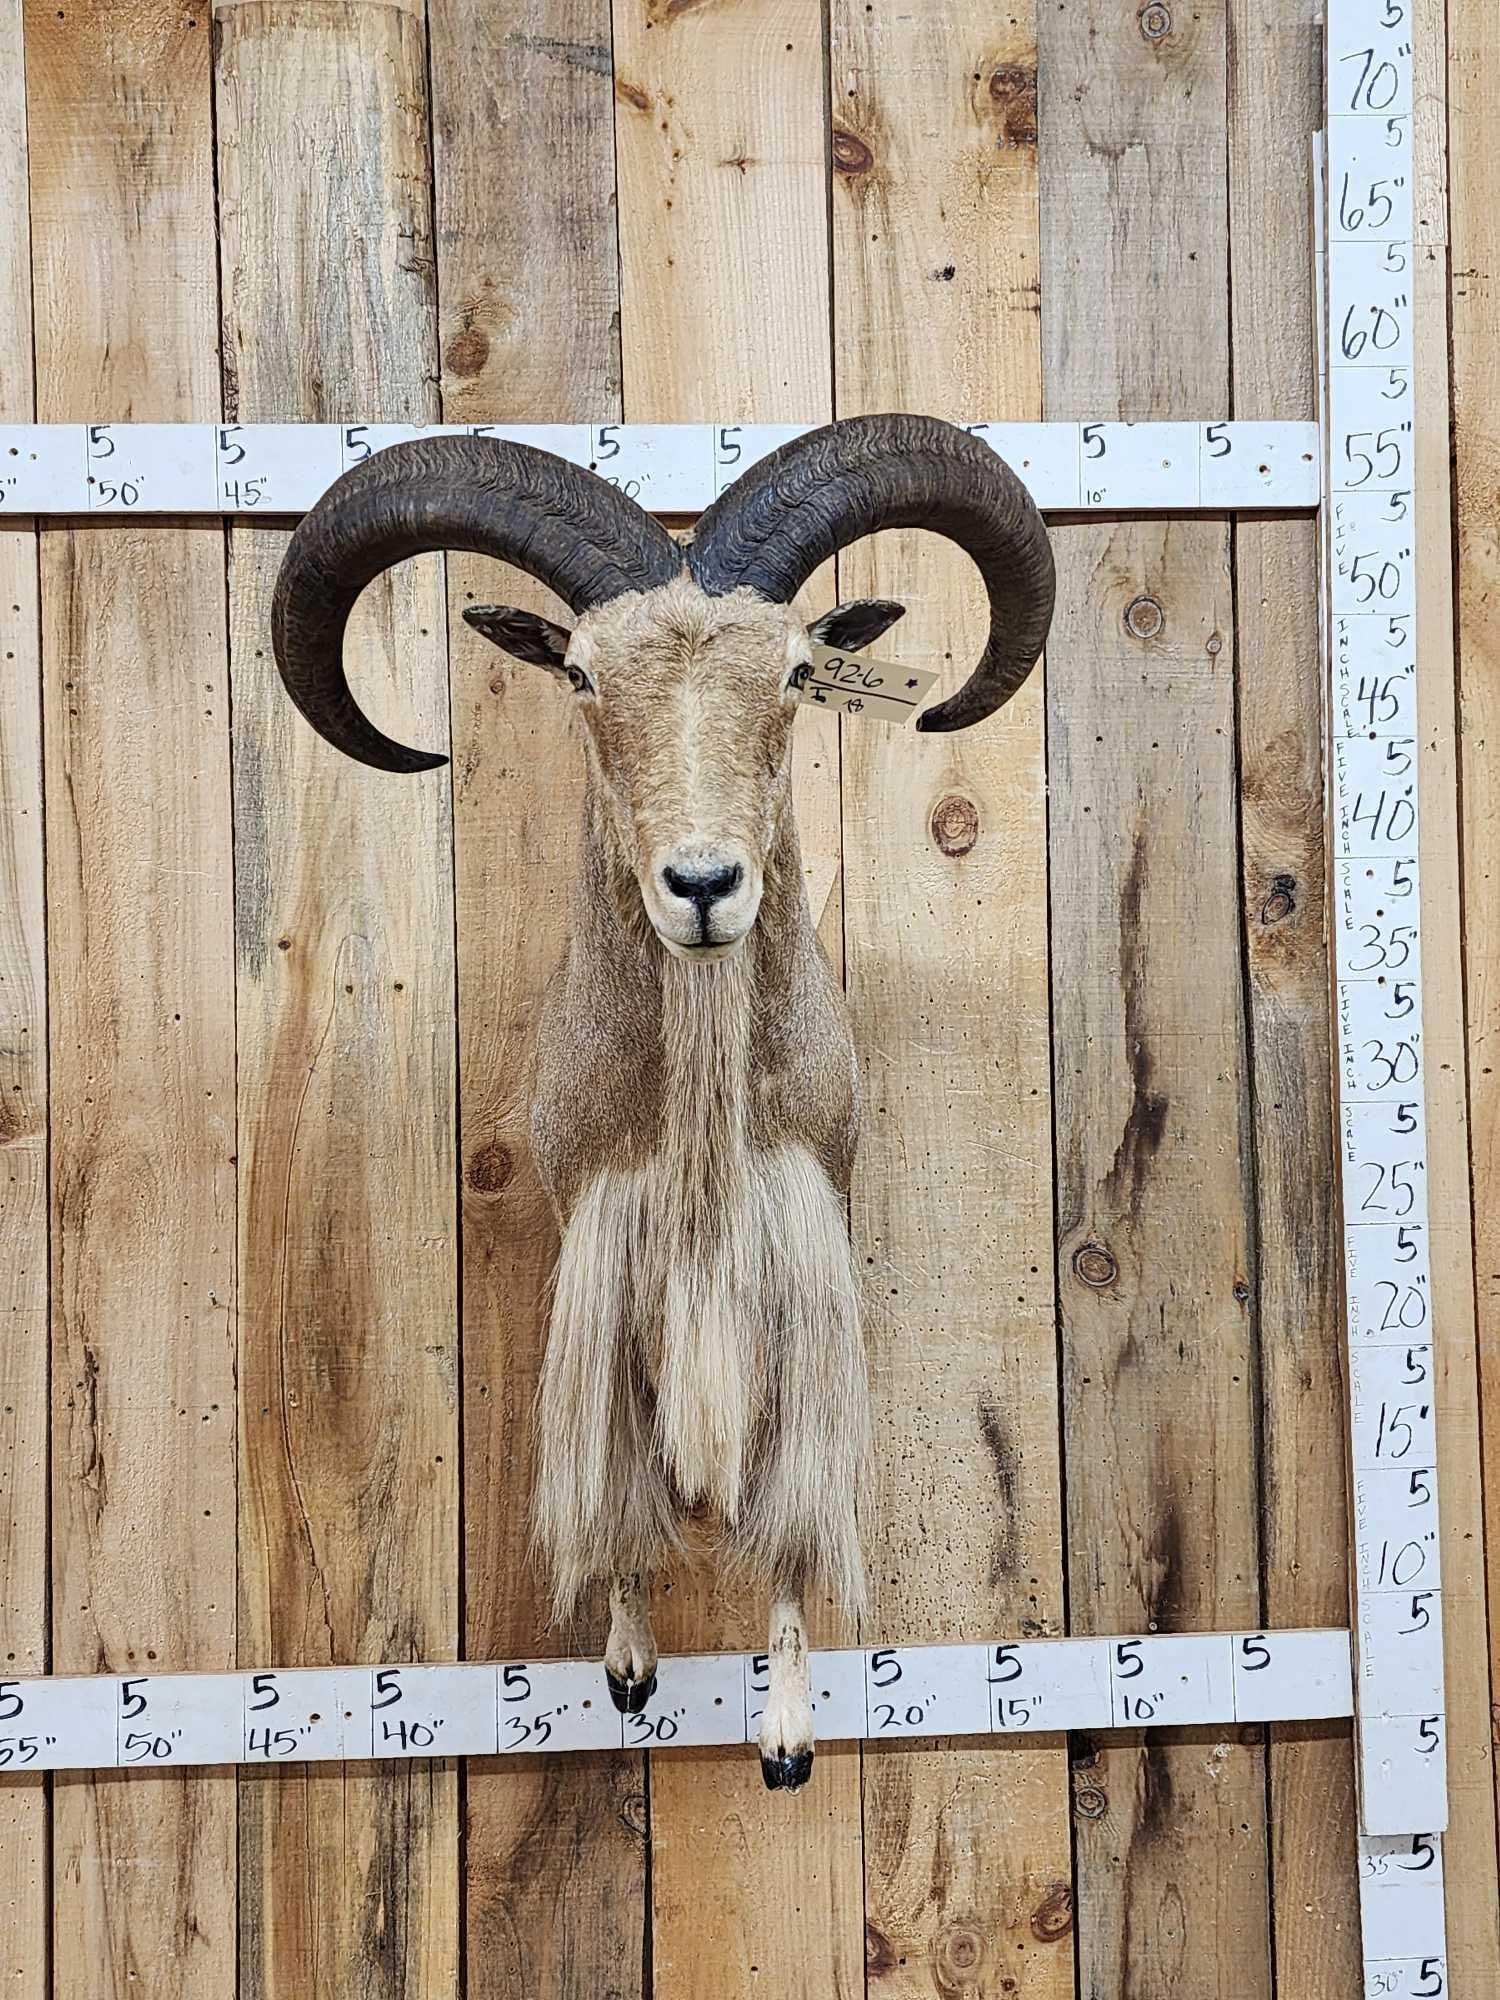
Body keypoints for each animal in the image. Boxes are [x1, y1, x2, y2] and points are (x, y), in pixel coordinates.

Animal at [269, 412, 1055, 1788]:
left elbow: (792, 1517)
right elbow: (618, 1489)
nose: (701, 886)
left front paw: (787, 1737)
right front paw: (630, 1668)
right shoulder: (599, 1245)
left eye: (795, 672)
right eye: (582, 676)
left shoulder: (805, 1250)